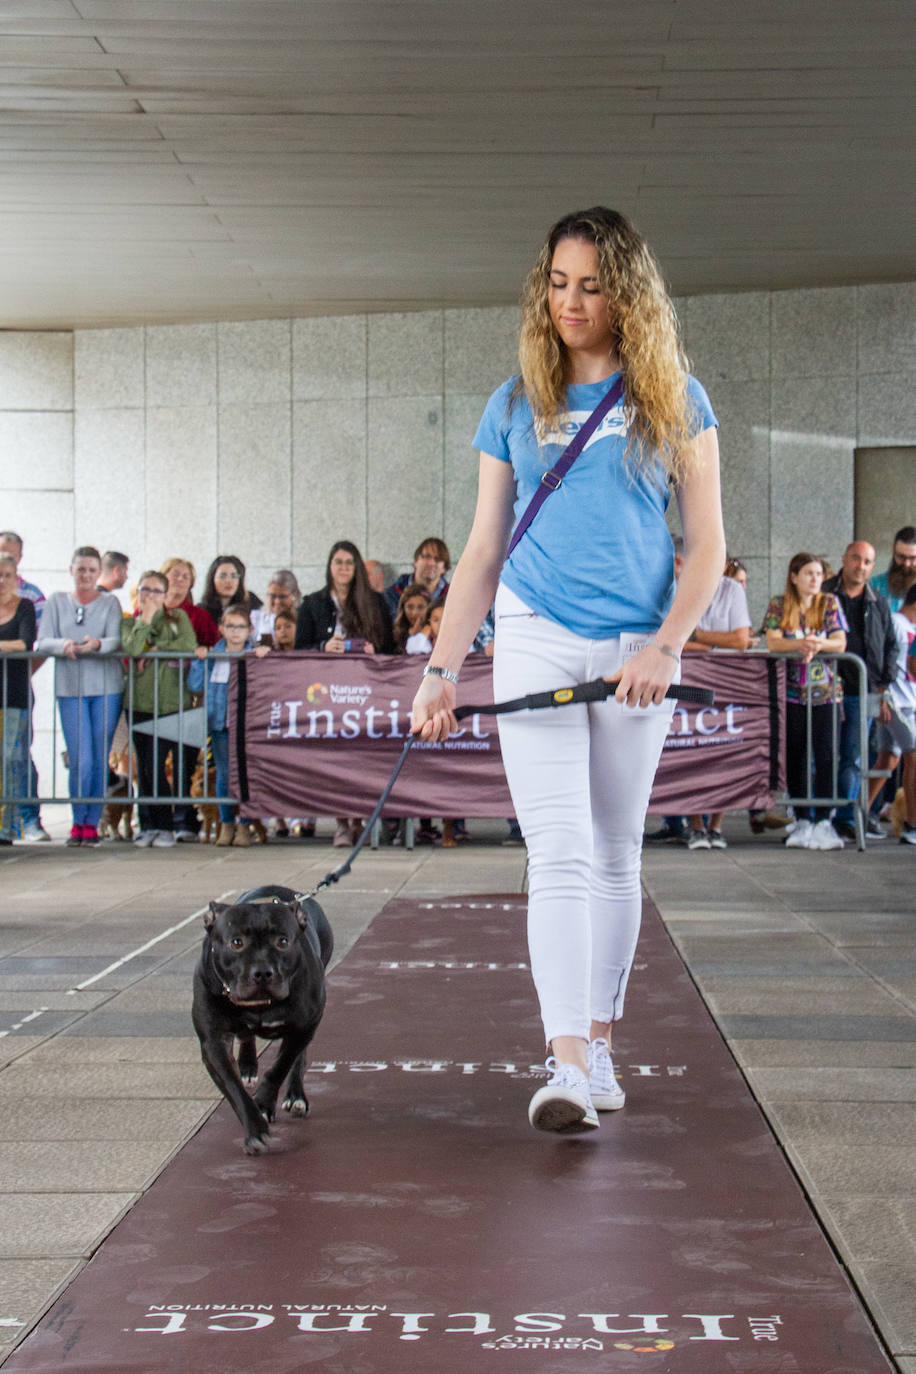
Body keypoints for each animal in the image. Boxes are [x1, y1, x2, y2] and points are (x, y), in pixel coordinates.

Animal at [192, 884, 333, 1154]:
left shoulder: (304, 1025)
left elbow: (281, 1066)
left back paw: (296, 1096)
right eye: (236, 942)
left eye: (283, 941)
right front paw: (255, 1129)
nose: (263, 972)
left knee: (298, 1059)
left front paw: (265, 1103)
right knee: (246, 1035)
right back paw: (247, 1066)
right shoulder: (213, 1042)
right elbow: (233, 1087)